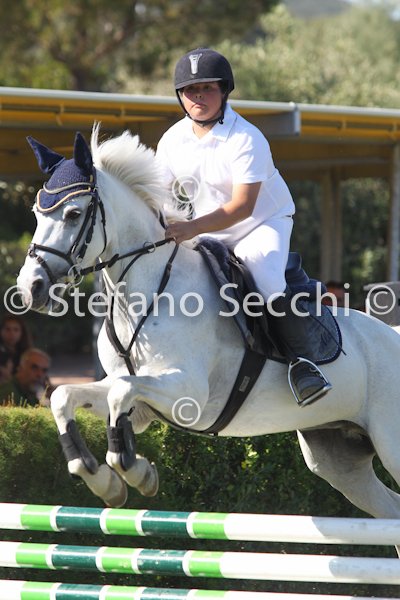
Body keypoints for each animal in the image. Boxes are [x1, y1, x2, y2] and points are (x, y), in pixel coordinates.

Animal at [16, 126, 400, 526]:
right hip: (337, 459)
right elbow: (66, 396)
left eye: (74, 213)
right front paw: (103, 479)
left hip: (391, 445)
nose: (30, 288)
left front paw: (135, 471)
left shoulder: (188, 394)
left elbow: (121, 393)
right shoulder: (136, 400)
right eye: (37, 213)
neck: (147, 291)